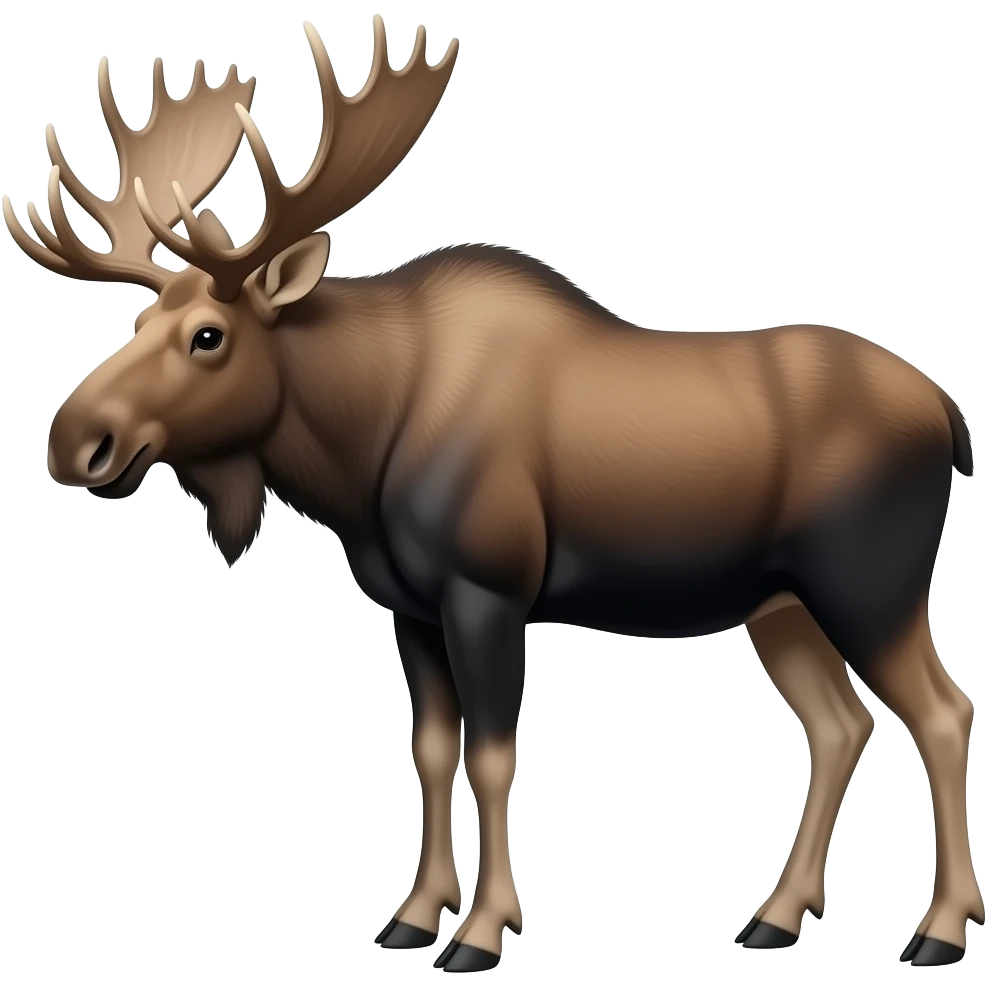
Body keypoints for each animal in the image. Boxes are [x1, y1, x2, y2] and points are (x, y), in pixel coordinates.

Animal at [8, 14, 981, 972]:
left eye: (208, 336)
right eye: (141, 320)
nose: (75, 440)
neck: (359, 451)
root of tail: (949, 413)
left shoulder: (488, 589)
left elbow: (491, 755)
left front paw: (480, 930)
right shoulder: (409, 606)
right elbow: (432, 751)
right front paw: (411, 916)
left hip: (869, 586)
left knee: (941, 710)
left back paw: (938, 929)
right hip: (778, 605)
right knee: (839, 724)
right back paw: (777, 915)